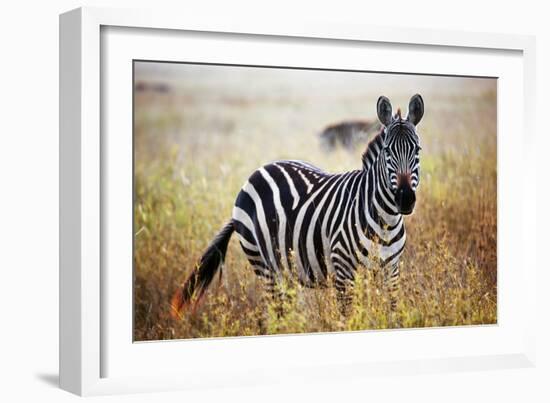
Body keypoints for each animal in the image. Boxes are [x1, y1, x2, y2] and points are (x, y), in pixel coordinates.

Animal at [172, 93, 426, 318]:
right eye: (387, 151)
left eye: (418, 150)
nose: (405, 199)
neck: (386, 220)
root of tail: (261, 169)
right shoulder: (343, 270)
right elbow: (348, 318)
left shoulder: (391, 270)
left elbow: (391, 313)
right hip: (264, 266)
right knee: (277, 314)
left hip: (287, 270)